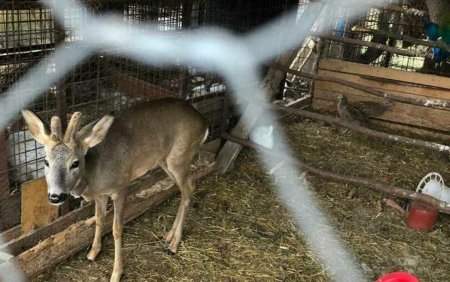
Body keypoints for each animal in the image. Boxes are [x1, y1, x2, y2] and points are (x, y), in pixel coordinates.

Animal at [22, 97, 208, 282]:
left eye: (74, 163)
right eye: (46, 162)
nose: (56, 196)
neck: (93, 173)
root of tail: (203, 121)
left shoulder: (121, 187)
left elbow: (117, 229)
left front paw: (116, 273)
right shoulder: (101, 194)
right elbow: (99, 219)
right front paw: (92, 253)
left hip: (180, 157)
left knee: (190, 188)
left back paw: (174, 244)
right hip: (165, 161)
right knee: (185, 189)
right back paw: (169, 236)